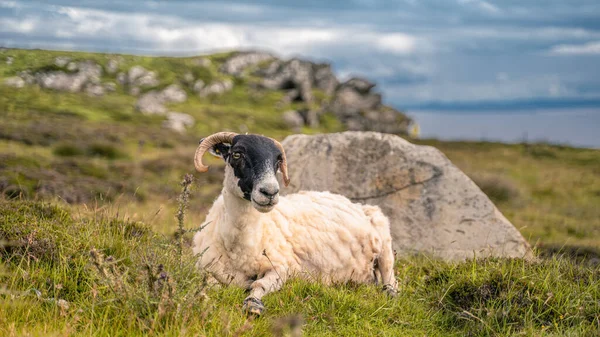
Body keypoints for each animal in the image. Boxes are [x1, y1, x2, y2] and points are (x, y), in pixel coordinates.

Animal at [192, 132, 398, 316]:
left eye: (277, 161)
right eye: (236, 154)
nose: (270, 192)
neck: (239, 245)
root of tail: (353, 203)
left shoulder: (284, 267)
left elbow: (259, 285)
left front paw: (253, 305)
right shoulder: (205, 267)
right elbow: (209, 284)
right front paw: (204, 300)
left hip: (385, 245)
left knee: (391, 280)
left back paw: (390, 292)